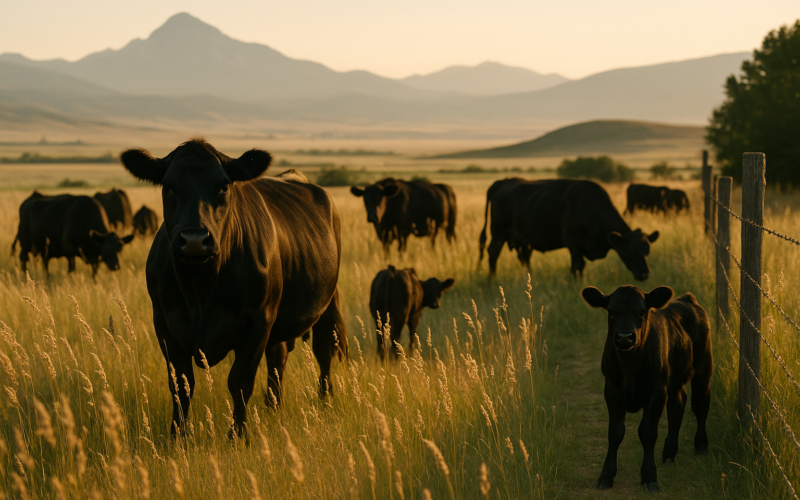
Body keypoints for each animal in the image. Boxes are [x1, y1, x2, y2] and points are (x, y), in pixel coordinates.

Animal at [120, 138, 347, 438]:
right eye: (168, 186)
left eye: (223, 186)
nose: (194, 240)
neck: (200, 292)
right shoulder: (164, 322)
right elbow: (181, 384)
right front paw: (178, 436)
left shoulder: (258, 321)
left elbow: (239, 382)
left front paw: (238, 436)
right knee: (278, 357)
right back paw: (273, 406)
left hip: (327, 303)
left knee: (323, 350)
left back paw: (325, 398)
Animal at [478, 178, 659, 280]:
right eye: (630, 251)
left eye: (647, 251)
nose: (645, 273)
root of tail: (503, 182)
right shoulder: (573, 243)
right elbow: (577, 266)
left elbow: (580, 267)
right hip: (498, 233)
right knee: (493, 253)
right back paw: (492, 279)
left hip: (521, 240)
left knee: (524, 257)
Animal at [581, 285, 712, 492]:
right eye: (611, 311)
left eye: (641, 312)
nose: (625, 337)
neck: (629, 365)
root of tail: (687, 298)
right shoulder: (611, 390)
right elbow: (615, 432)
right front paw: (606, 476)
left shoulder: (657, 392)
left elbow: (648, 432)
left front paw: (649, 476)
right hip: (674, 380)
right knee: (678, 405)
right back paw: (669, 453)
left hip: (704, 366)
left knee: (700, 404)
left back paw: (701, 446)